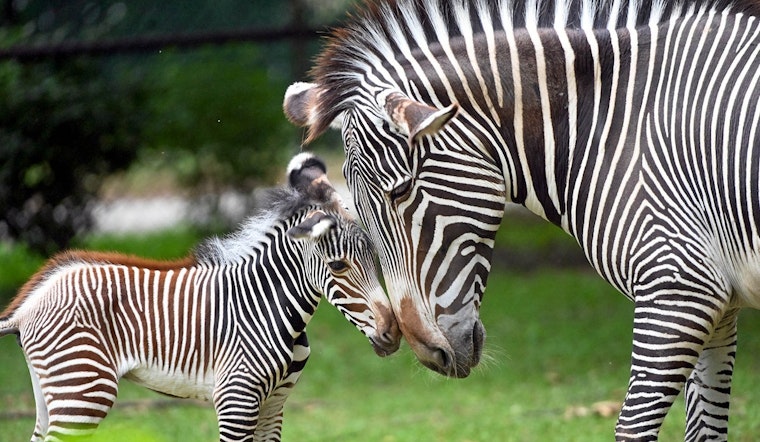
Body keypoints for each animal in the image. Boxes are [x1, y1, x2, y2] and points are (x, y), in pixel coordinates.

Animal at [0, 152, 400, 442]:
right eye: (338, 266)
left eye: (375, 258)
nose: (393, 334)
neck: (268, 306)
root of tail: (27, 305)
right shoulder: (237, 402)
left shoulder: (274, 407)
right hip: (83, 389)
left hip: (55, 389)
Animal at [283, 0, 760, 439]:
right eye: (359, 211)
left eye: (400, 191)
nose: (429, 356)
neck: (608, 125)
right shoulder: (719, 306)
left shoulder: (679, 291)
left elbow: (632, 428)